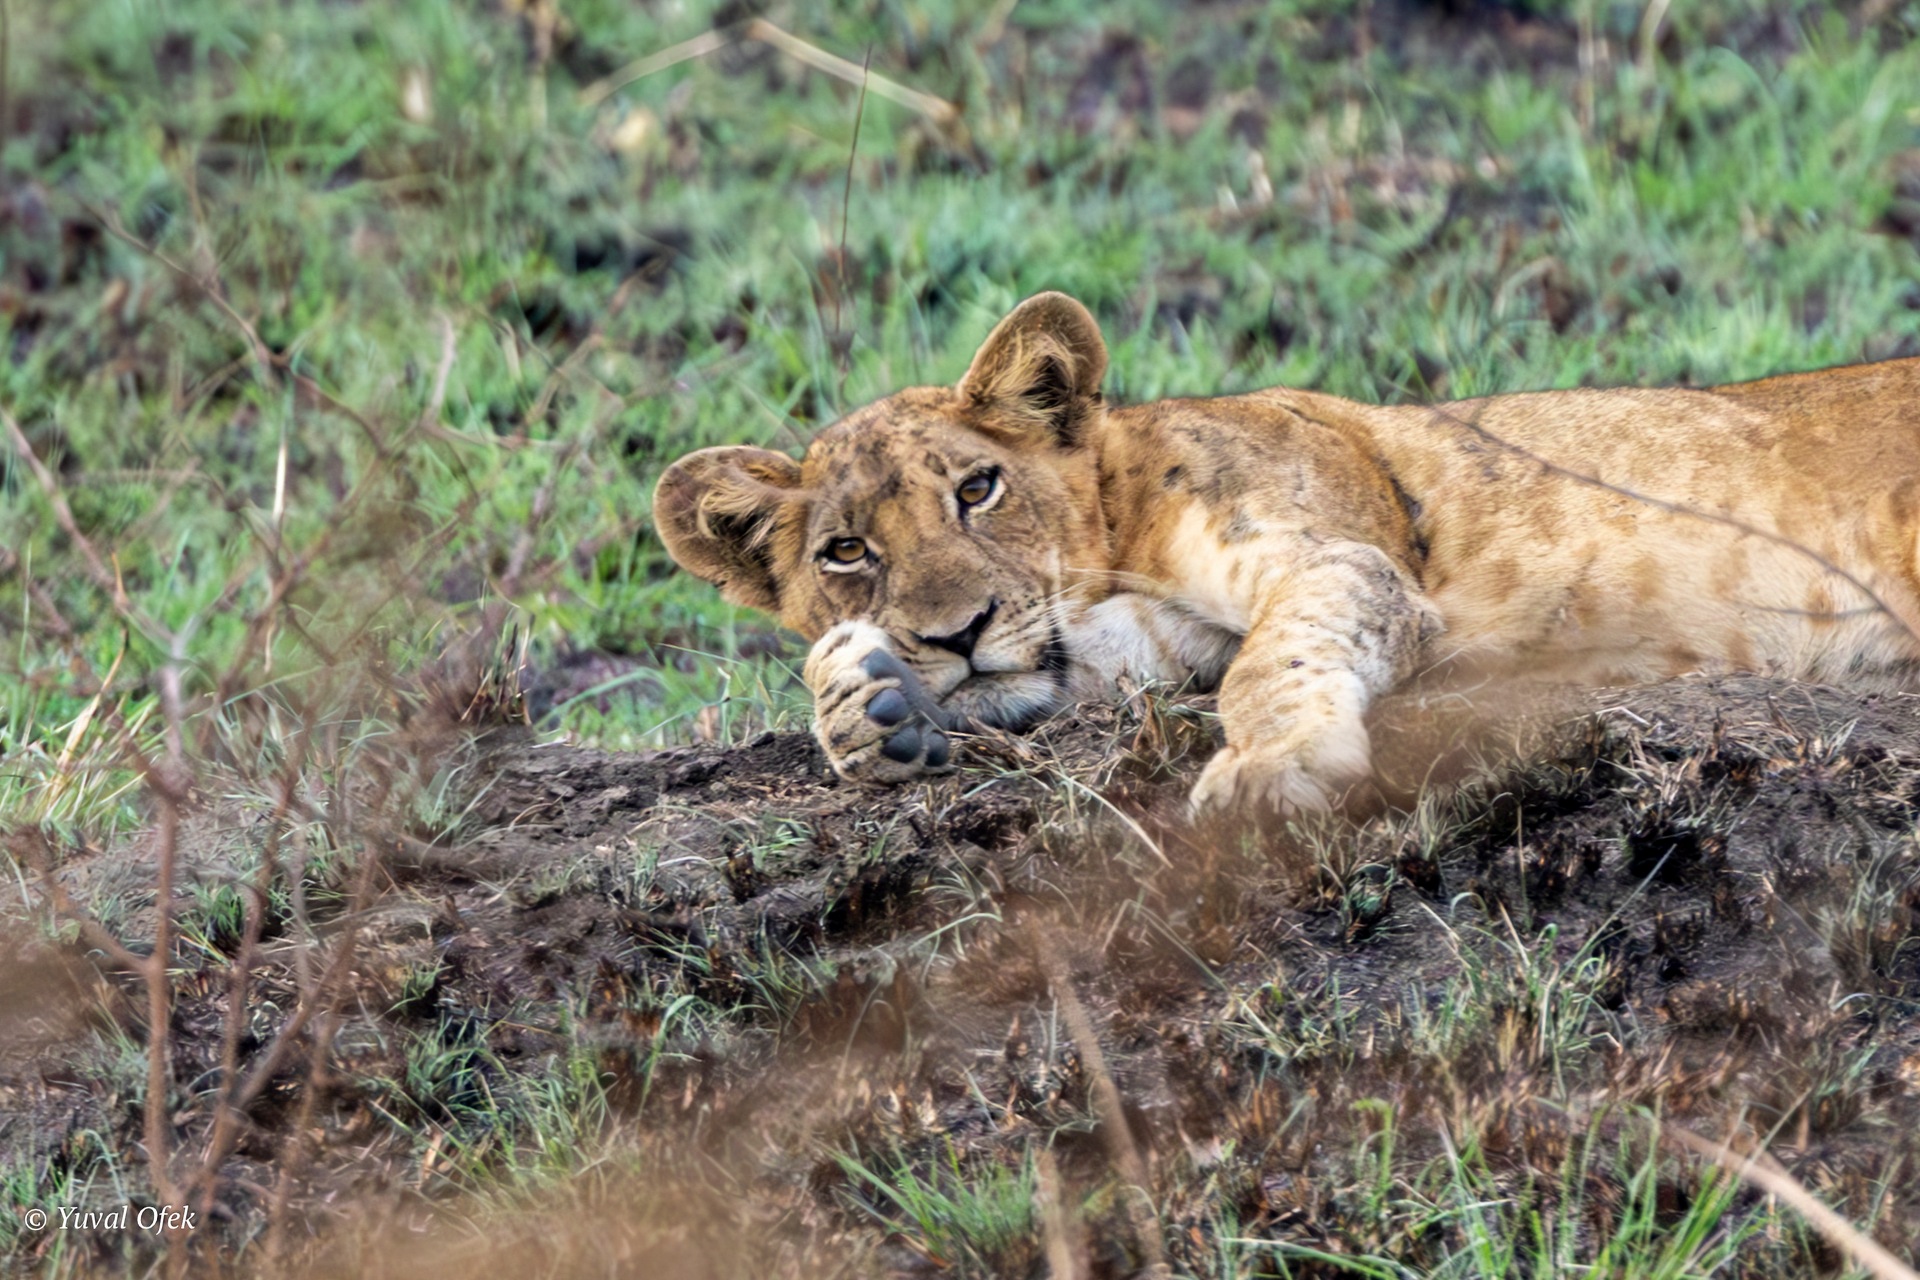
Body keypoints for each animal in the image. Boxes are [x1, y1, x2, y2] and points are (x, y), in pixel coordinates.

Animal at [654, 291, 1920, 815]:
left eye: (978, 488)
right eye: (847, 549)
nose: (954, 633)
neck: (1115, 535)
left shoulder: (1344, 559)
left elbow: (1278, 661)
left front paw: (1272, 771)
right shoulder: (1154, 641)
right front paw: (873, 707)